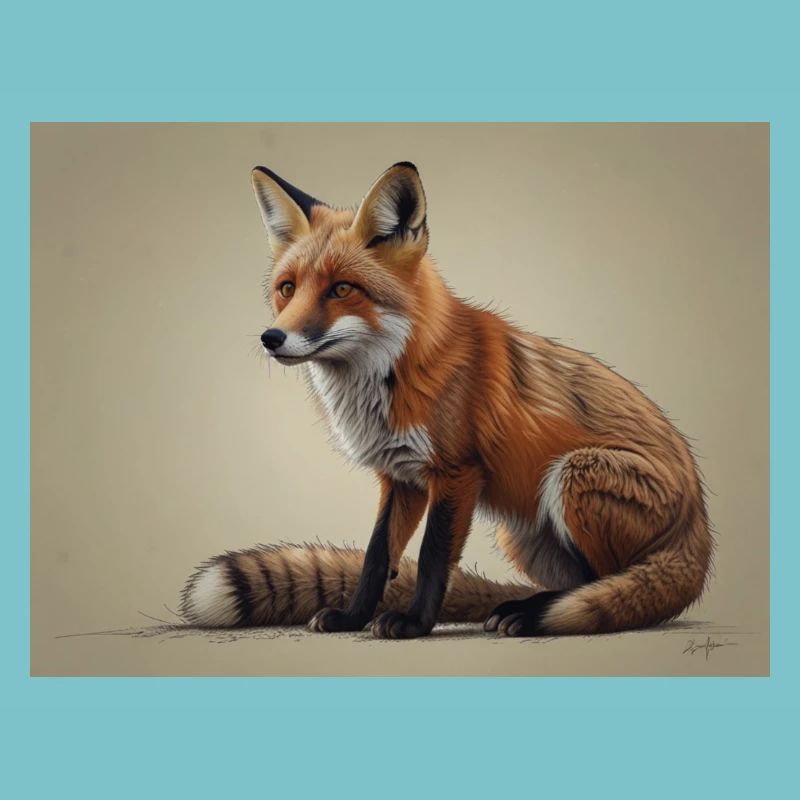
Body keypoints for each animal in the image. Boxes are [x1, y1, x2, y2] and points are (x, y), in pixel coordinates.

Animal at [179, 161, 713, 639]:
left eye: (342, 289)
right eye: (287, 289)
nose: (272, 338)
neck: (397, 374)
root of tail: (699, 528)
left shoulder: (458, 472)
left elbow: (434, 557)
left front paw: (414, 624)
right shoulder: (400, 477)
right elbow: (377, 557)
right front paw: (353, 618)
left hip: (572, 473)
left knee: (611, 588)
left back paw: (530, 615)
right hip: (520, 530)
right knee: (585, 584)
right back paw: (520, 606)